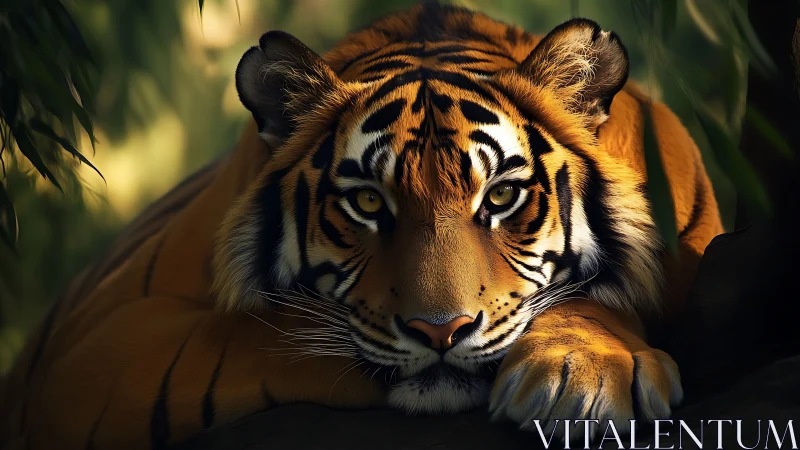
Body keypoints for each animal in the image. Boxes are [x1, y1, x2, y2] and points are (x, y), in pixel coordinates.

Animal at [0, 3, 723, 449]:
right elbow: (276, 335)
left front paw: (587, 374)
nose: (441, 332)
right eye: (370, 204)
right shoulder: (97, 348)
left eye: (501, 196)